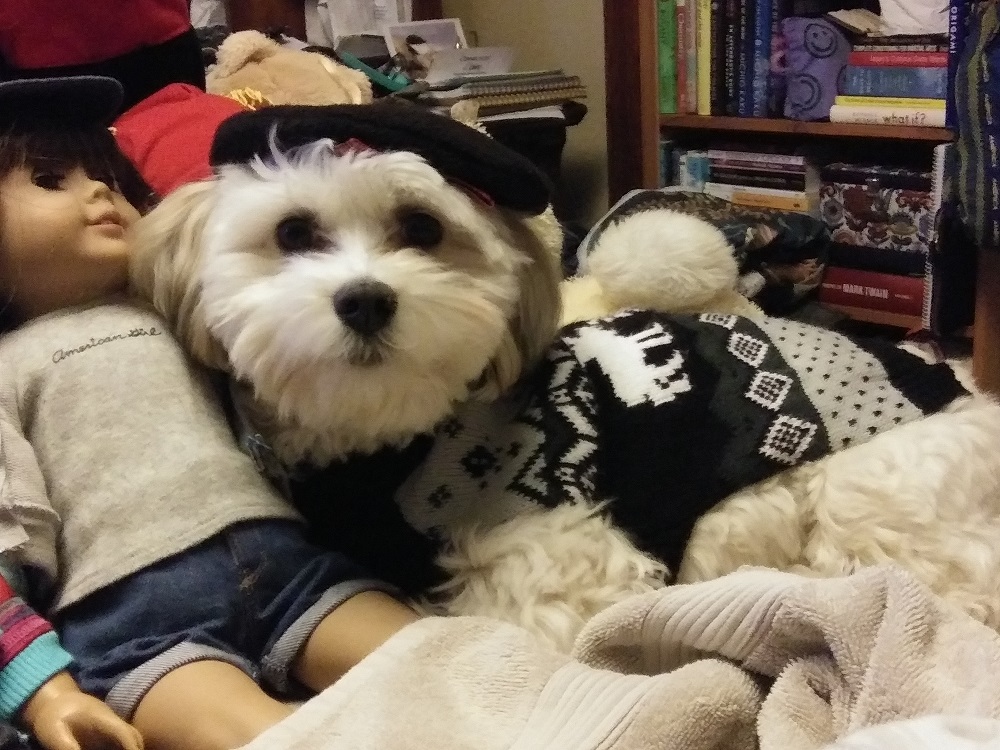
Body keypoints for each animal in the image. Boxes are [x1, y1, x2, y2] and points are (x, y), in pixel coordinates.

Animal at [133, 106, 1000, 652]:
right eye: (292, 232)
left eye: (422, 228)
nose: (366, 300)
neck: (394, 440)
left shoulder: (561, 564)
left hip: (873, 512)